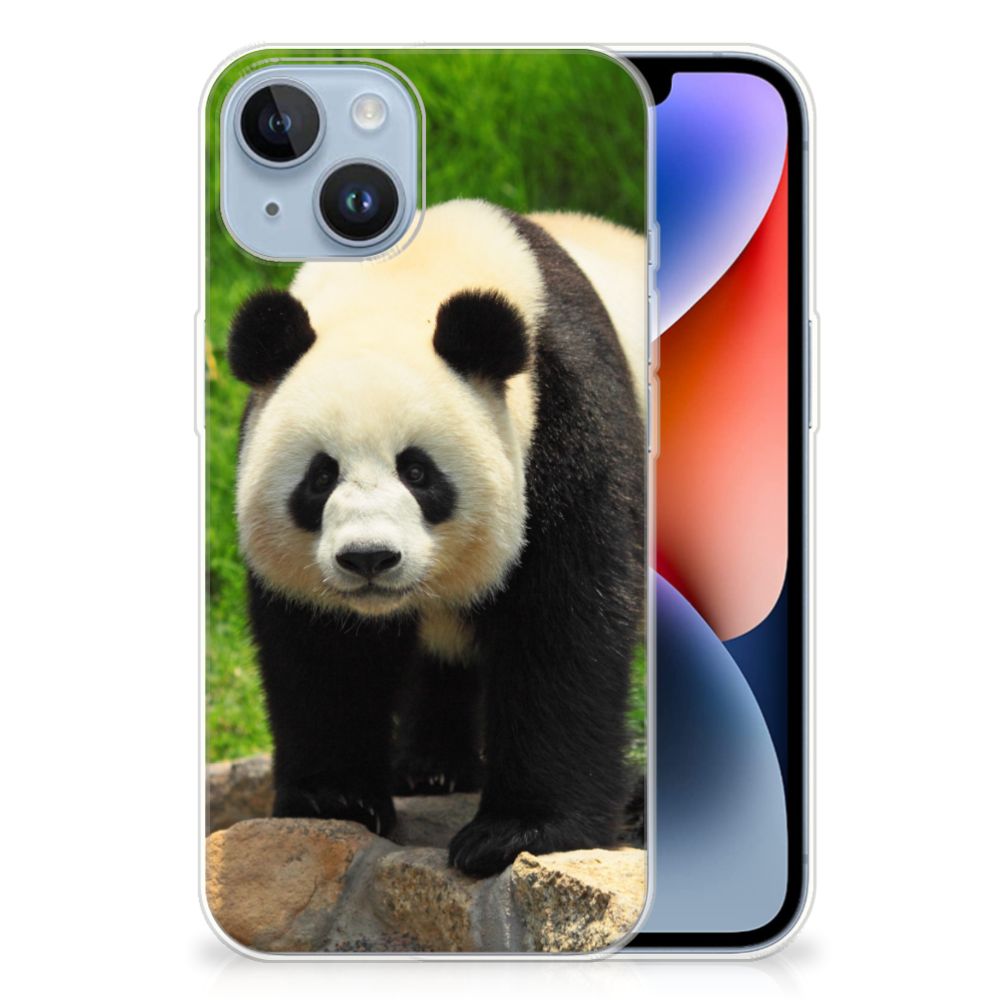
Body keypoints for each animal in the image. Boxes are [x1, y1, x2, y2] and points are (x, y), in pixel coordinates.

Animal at [227, 199, 647, 876]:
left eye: (418, 472)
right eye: (321, 476)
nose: (369, 558)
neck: (404, 282)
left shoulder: (567, 419)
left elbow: (564, 623)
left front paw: (519, 832)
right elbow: (323, 648)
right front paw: (335, 799)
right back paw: (431, 769)